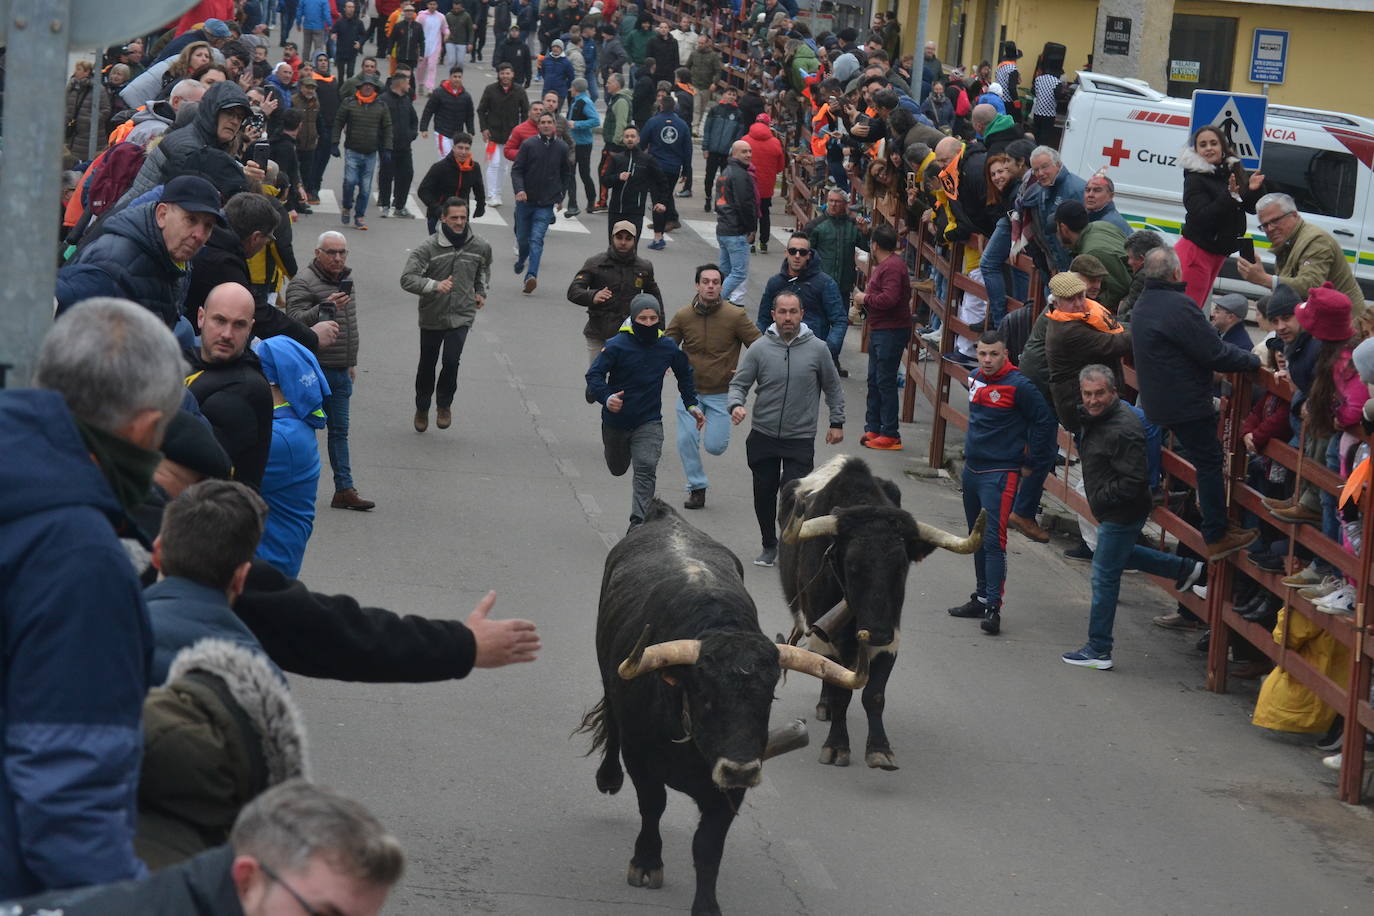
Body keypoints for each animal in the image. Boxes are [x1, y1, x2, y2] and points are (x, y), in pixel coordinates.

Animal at [582, 502, 868, 916]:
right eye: (704, 694)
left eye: (768, 697)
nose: (739, 769)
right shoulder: (642, 761)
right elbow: (652, 806)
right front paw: (646, 863)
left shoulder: (731, 788)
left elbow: (708, 846)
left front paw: (706, 905)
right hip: (609, 677)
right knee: (612, 722)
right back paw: (608, 778)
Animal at [780, 455, 983, 769]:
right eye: (852, 565)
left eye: (901, 567)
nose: (875, 632)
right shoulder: (826, 637)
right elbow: (840, 692)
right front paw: (836, 747)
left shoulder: (891, 639)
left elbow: (874, 695)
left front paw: (880, 750)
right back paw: (825, 707)